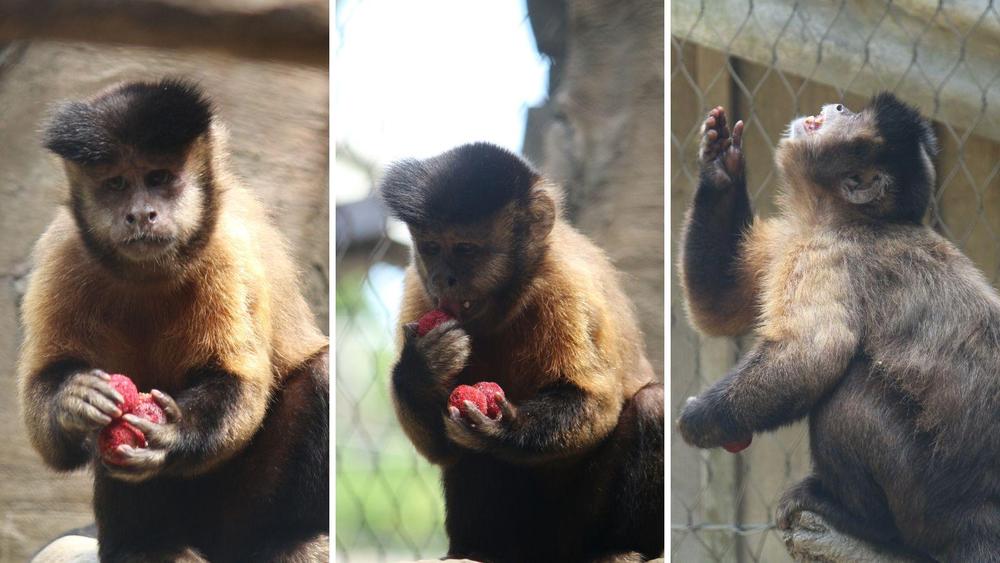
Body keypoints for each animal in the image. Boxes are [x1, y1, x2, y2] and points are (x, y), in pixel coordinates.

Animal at [18, 80, 332, 563]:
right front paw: (74, 399)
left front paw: (172, 432)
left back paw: (283, 536)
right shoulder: (63, 252)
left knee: (322, 373)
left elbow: (237, 385)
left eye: (158, 178)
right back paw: (141, 545)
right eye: (116, 183)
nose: (141, 213)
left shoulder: (227, 251)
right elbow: (47, 414)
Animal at [378, 144, 660, 563]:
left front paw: (500, 428)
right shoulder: (420, 289)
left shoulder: (565, 283)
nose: (444, 278)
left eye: (465, 250)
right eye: (431, 248)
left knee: (652, 405)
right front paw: (422, 369)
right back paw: (475, 549)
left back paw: (619, 548)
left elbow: (597, 402)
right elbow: (441, 448)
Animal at [676, 92, 1000, 560]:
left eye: (852, 118)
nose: (838, 107)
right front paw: (720, 163)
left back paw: (865, 523)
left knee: (848, 393)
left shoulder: (828, 252)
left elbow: (812, 354)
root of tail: (981, 509)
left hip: (933, 500)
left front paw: (700, 418)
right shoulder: (792, 237)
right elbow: (720, 303)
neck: (844, 218)